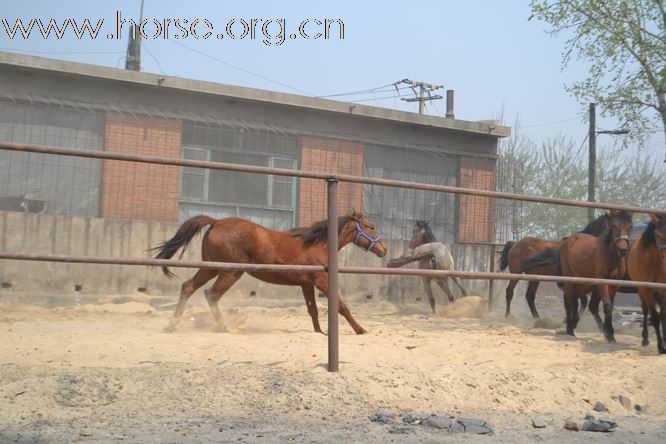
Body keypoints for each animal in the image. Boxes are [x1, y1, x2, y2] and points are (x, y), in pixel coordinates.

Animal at [152, 210, 384, 334]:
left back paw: (171, 325)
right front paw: (361, 330)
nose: (384, 250)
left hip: (211, 267)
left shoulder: (306, 284)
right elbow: (342, 306)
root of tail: (216, 221)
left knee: (188, 287)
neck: (318, 244)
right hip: (230, 271)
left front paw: (319, 332)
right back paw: (222, 327)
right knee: (211, 294)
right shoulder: (322, 280)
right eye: (370, 226)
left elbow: (313, 310)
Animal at [556, 210, 632, 342]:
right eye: (614, 226)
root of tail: (569, 239)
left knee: (577, 300)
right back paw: (569, 330)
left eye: (630, 226)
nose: (623, 250)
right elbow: (607, 306)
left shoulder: (615, 283)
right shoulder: (602, 282)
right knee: (568, 301)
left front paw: (610, 335)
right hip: (570, 279)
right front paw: (609, 335)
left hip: (582, 282)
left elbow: (610, 306)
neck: (610, 256)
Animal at [628, 213, 664, 356]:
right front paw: (661, 347)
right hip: (640, 289)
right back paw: (645, 339)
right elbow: (654, 316)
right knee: (645, 309)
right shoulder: (646, 289)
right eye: (658, 235)